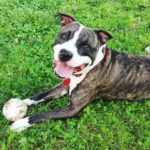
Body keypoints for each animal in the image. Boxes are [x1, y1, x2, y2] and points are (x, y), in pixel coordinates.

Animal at [9, 13, 149, 131]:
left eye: (86, 46)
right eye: (64, 36)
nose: (65, 54)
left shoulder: (73, 109)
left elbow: (44, 114)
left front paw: (20, 123)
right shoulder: (64, 85)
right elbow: (42, 95)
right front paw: (22, 102)